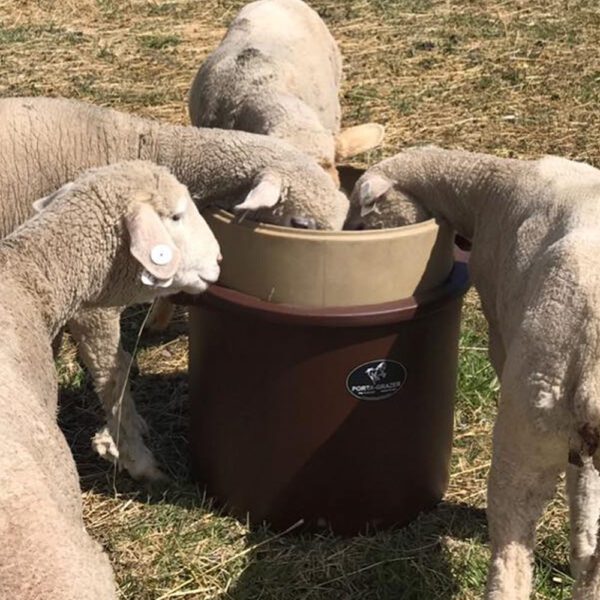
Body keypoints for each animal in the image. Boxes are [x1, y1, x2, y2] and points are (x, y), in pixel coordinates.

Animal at [346, 145, 600, 600]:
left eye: (361, 219)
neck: (485, 189)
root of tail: (590, 366)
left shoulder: (499, 327)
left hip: (528, 422)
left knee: (511, 552)